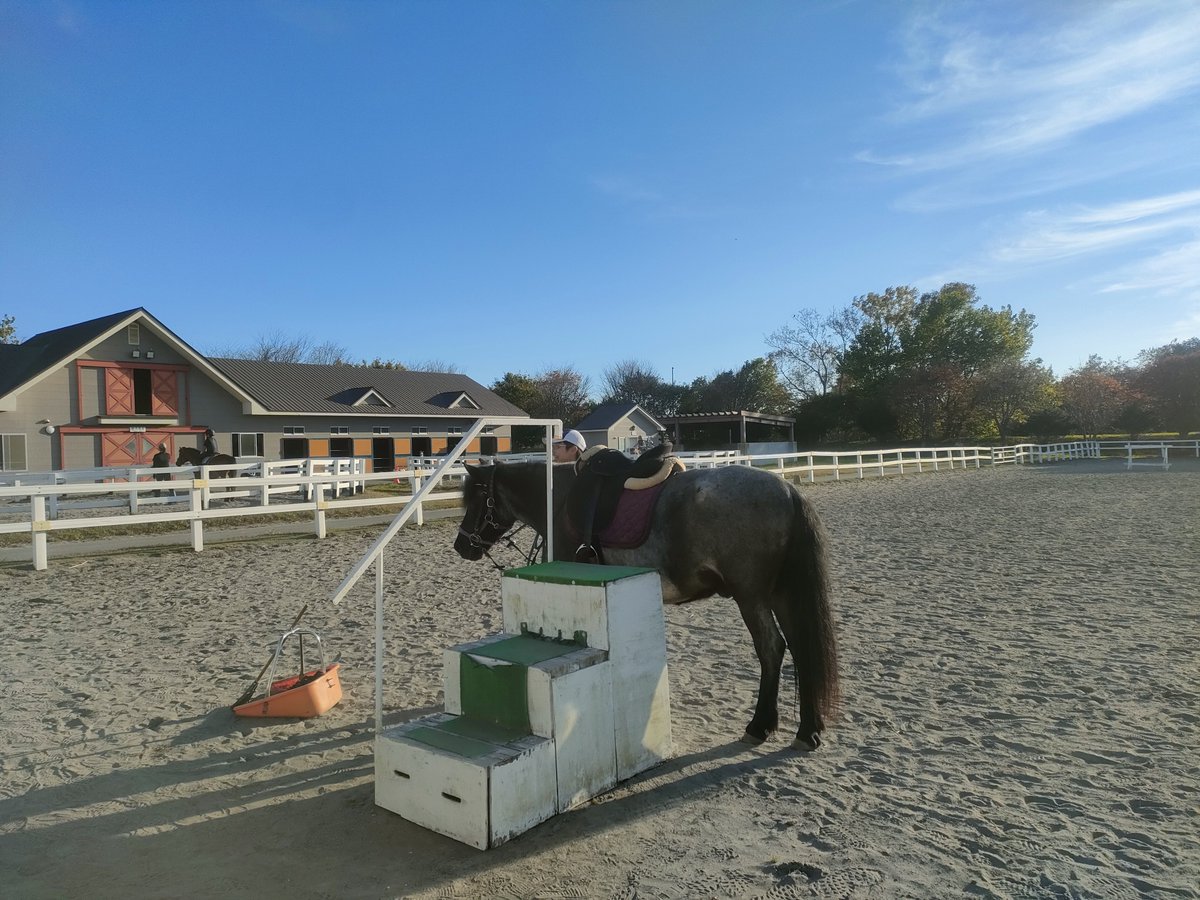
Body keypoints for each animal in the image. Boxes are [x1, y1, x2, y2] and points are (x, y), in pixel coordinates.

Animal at [454, 460, 839, 751]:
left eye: (478, 499)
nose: (462, 545)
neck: (558, 499)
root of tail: (787, 490)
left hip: (751, 596)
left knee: (772, 648)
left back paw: (760, 725)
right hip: (780, 594)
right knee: (802, 648)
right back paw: (808, 730)